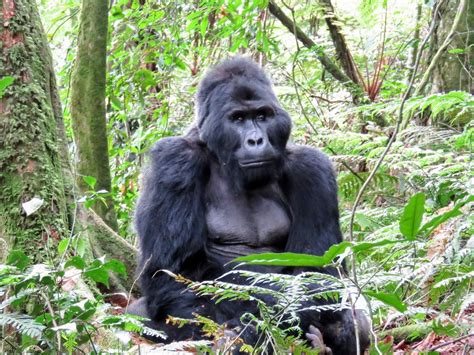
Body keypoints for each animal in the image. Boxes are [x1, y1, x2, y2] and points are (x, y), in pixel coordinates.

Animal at [131, 57, 370, 354]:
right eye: (238, 119)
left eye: (262, 116)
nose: (256, 140)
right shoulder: (175, 161)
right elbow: (173, 273)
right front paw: (254, 326)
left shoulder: (311, 168)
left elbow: (317, 271)